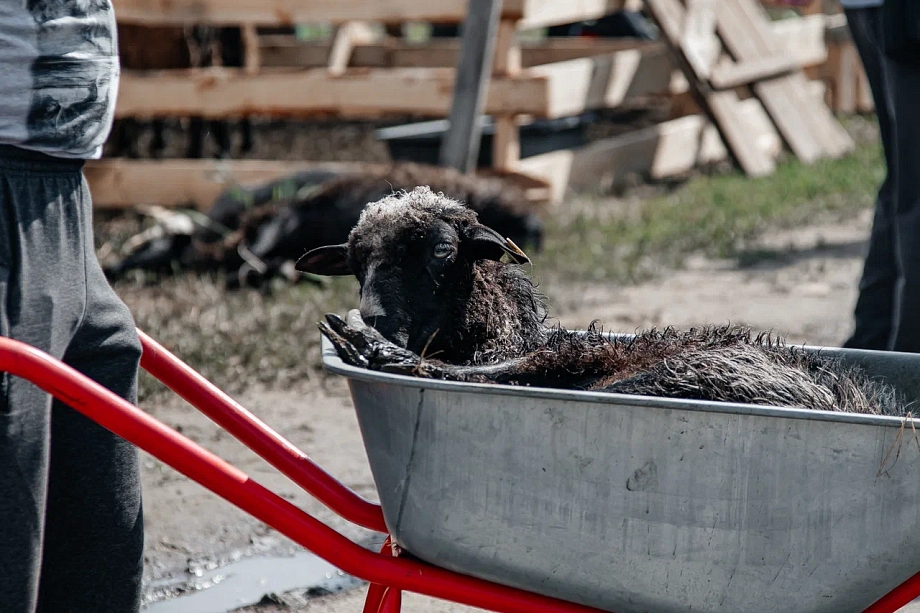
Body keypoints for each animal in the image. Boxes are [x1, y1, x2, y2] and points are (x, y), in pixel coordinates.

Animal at [300, 186, 904, 416]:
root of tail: (843, 398)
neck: (508, 333)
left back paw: (364, 345)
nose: (377, 316)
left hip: (688, 374)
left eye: (442, 251)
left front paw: (368, 340)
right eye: (355, 263)